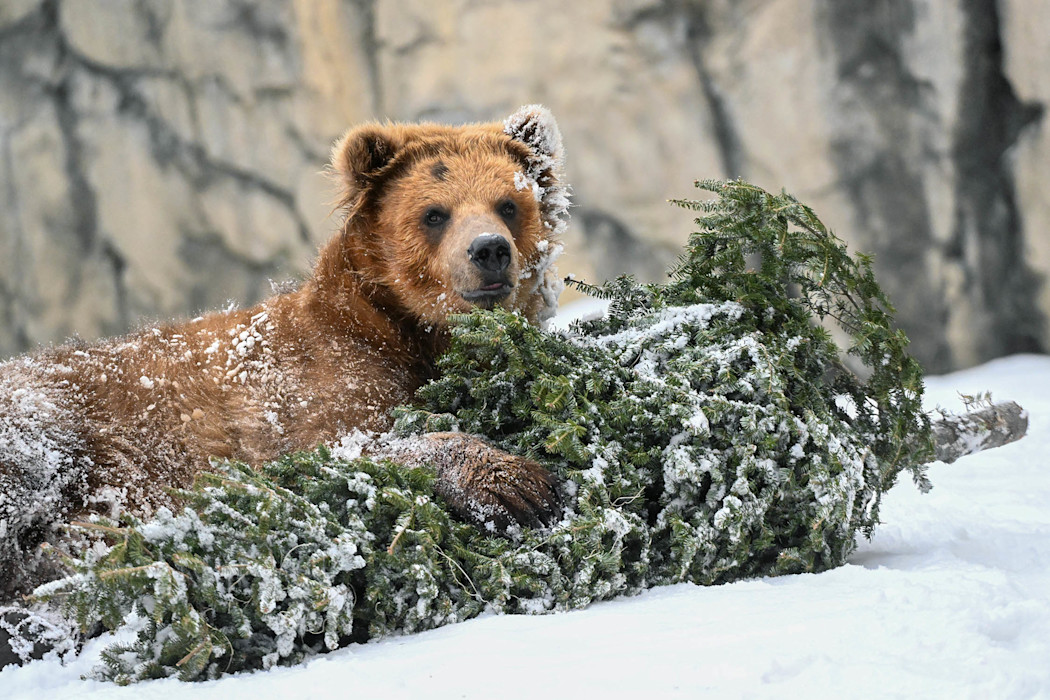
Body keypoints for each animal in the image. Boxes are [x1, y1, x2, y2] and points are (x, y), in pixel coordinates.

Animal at [0, 105, 570, 609]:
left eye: (509, 203)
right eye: (434, 213)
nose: (489, 250)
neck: (406, 332)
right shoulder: (308, 387)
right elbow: (343, 450)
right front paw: (518, 485)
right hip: (54, 415)